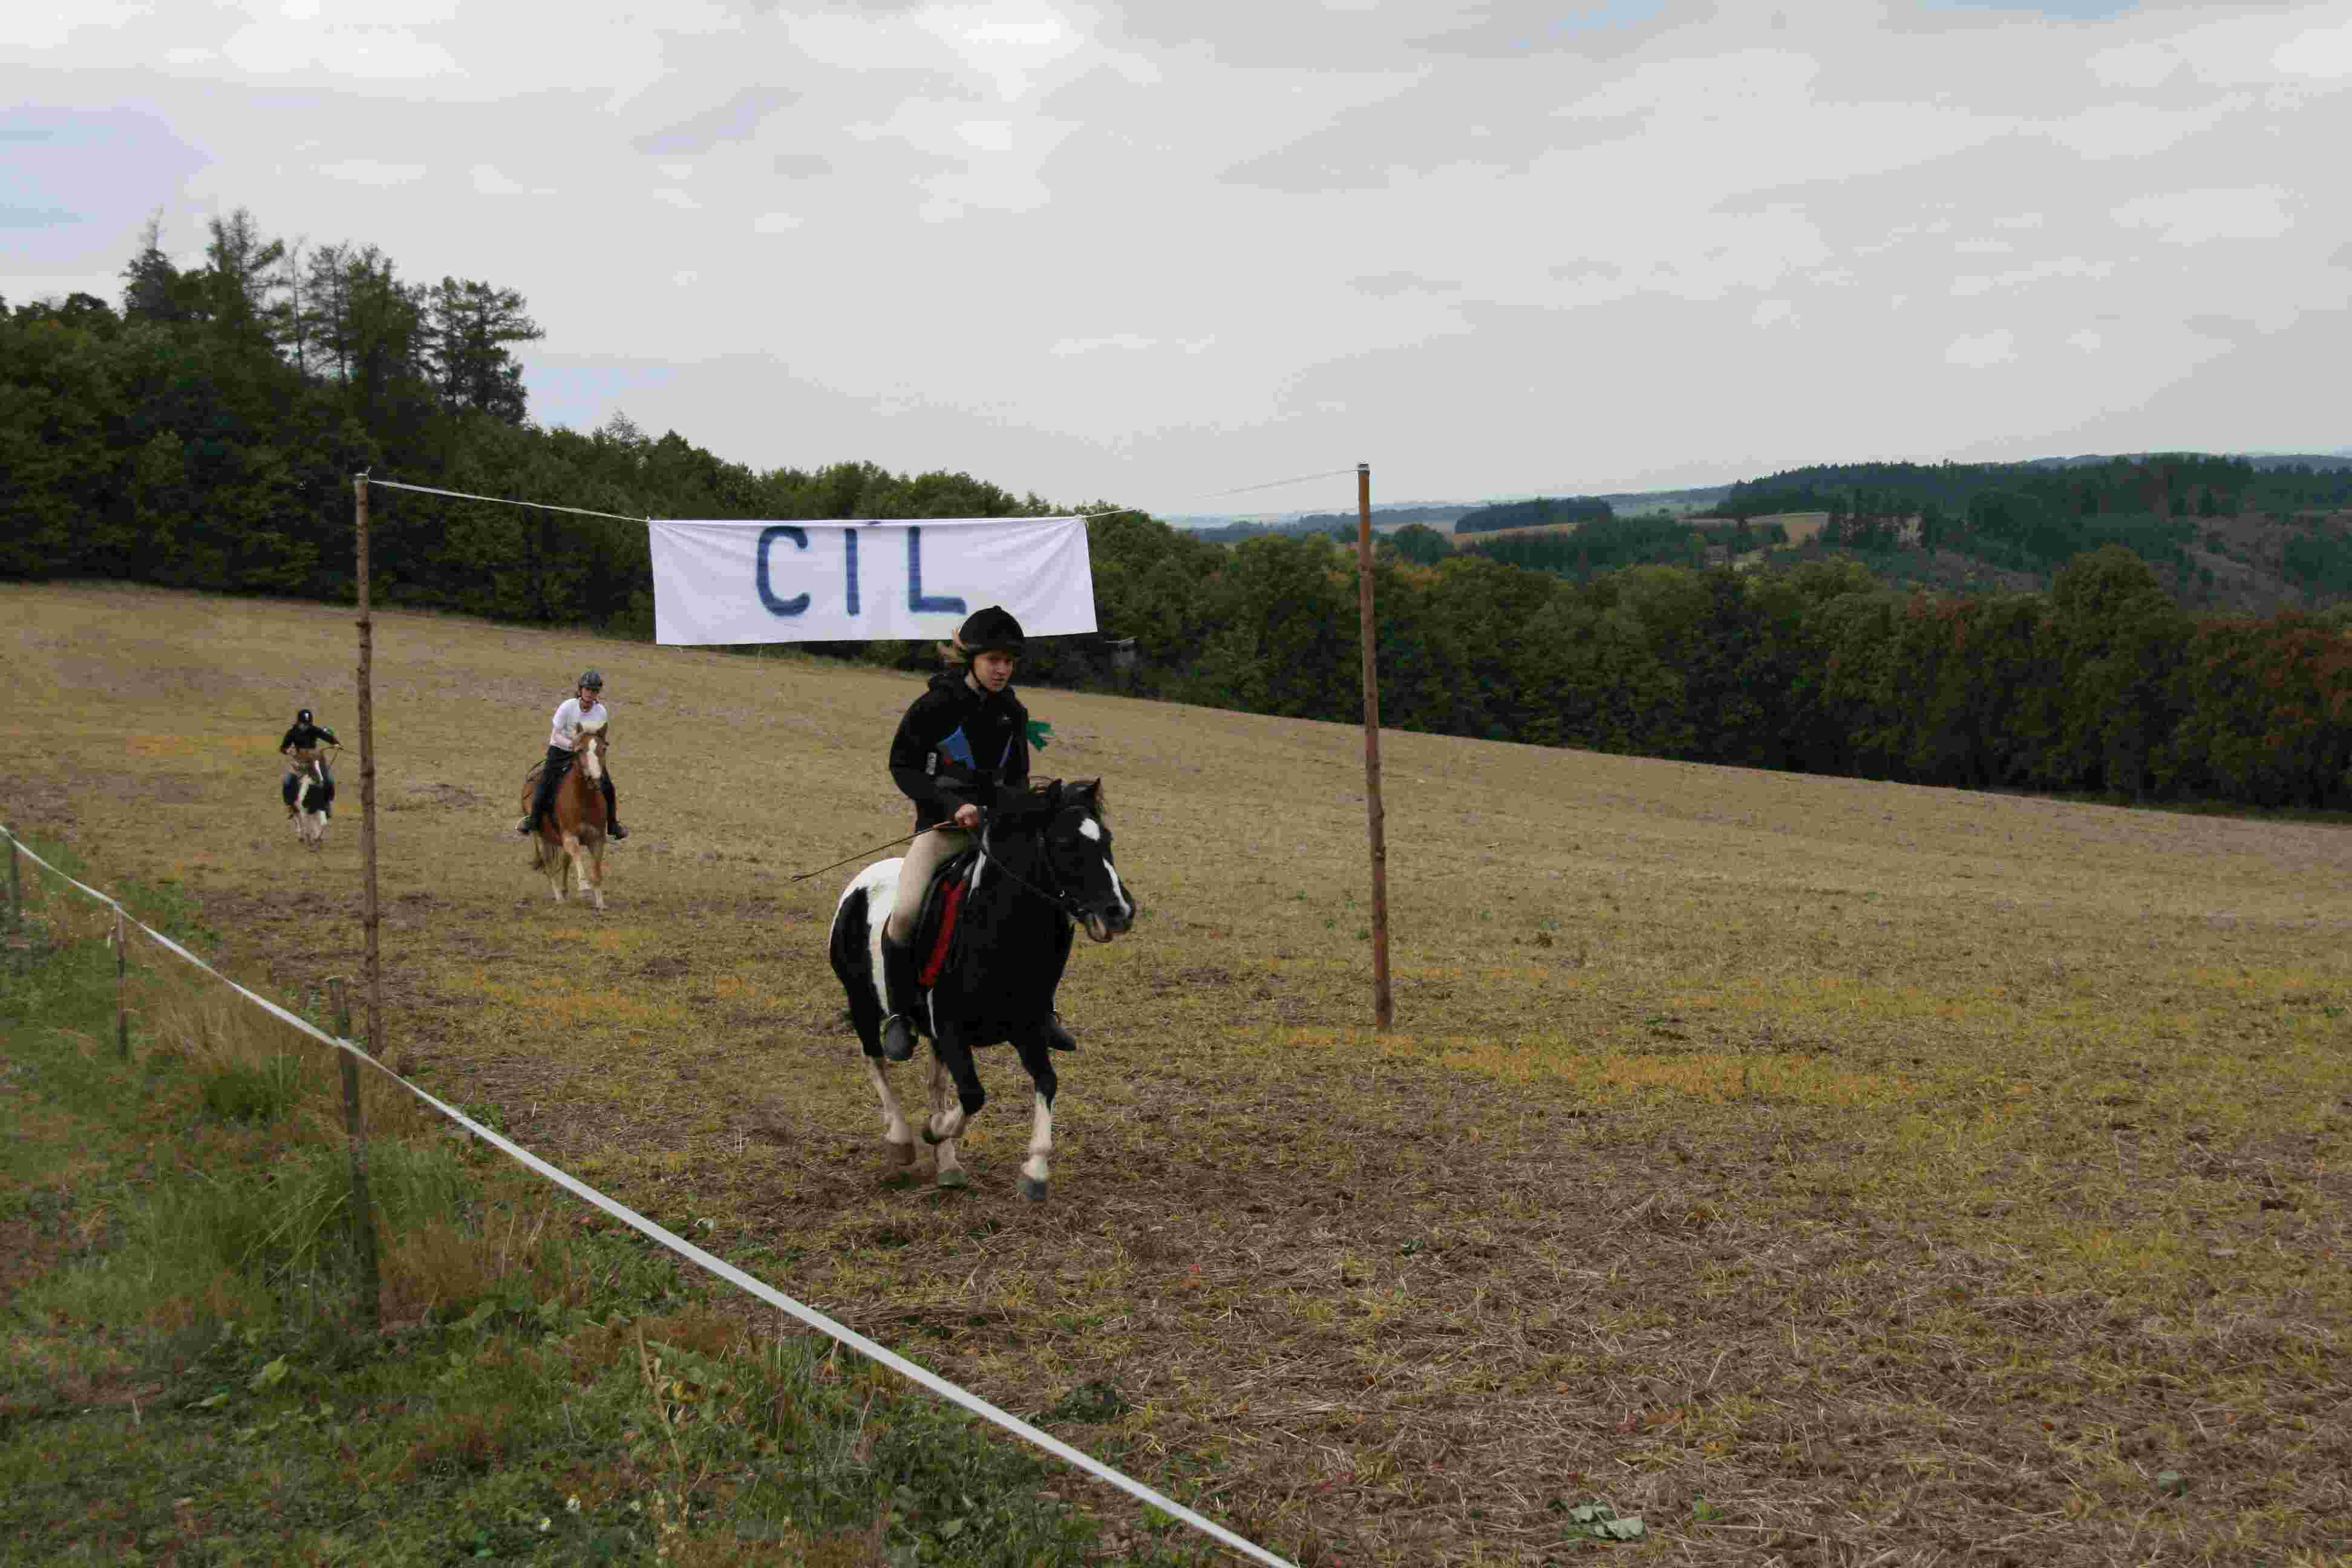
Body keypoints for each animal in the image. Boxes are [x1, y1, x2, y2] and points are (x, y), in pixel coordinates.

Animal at [282, 747, 334, 846]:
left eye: (320, 765)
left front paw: (317, 838)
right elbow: (306, 826)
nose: (320, 781)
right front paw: (310, 839)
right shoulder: (303, 811)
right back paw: (301, 837)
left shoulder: (320, 808)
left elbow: (323, 823)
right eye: (310, 767)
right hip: (294, 807)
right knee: (297, 819)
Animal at [517, 728, 607, 912]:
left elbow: (596, 870)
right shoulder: (569, 836)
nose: (595, 779)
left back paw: (565, 891)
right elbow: (577, 853)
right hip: (541, 837)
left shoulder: (598, 838)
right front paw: (584, 887)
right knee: (549, 865)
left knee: (565, 861)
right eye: (579, 750)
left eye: (603, 749)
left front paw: (600, 902)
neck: (585, 800)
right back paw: (559, 896)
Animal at [837, 776, 1138, 1203]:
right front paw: (935, 1129)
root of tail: (861, 882)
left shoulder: (1026, 1029)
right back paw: (901, 1138)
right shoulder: (950, 1029)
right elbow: (973, 1094)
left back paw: (947, 1165)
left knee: (935, 1083)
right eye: (1064, 843)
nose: (1119, 912)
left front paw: (1035, 1170)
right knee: (875, 1060)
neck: (996, 935)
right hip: (862, 1003)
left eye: (1107, 839)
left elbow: (1046, 1082)